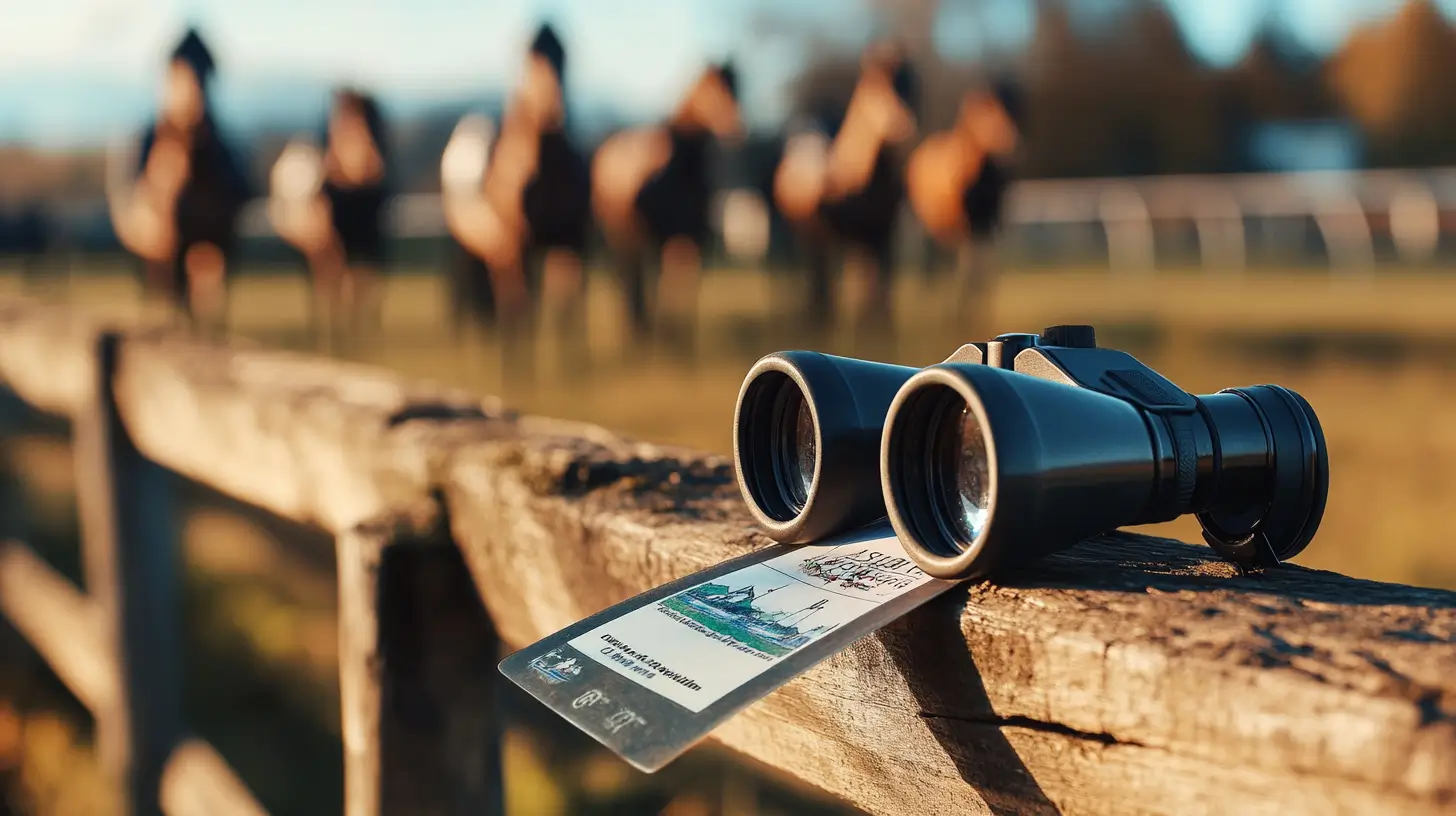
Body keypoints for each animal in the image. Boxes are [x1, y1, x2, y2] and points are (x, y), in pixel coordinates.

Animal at [590, 61, 744, 349]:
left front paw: (684, 338)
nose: (735, 126)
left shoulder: (691, 235)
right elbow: (665, 284)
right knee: (629, 275)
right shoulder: (663, 235)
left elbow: (685, 282)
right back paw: (635, 328)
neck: (681, 169)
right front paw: (667, 337)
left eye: (737, 85)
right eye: (709, 88)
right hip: (623, 233)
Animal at [771, 42, 918, 335]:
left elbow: (880, 283)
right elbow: (836, 283)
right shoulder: (833, 232)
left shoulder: (881, 231)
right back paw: (816, 316)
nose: (902, 125)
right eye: (875, 86)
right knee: (818, 275)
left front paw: (879, 327)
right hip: (810, 234)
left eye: (911, 84)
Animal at [905, 80, 1021, 325]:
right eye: (983, 112)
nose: (1012, 141)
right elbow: (968, 269)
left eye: (1005, 109)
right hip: (936, 227)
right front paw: (961, 313)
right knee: (939, 264)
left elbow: (985, 268)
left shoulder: (988, 224)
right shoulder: (966, 225)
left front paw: (982, 311)